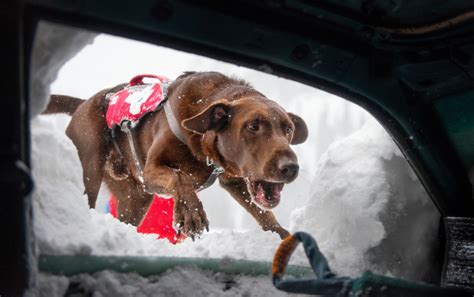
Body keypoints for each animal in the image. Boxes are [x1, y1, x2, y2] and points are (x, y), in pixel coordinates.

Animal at [44, 71, 310, 238]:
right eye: (253, 126)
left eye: (288, 129)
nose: (290, 168)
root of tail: (82, 103)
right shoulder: (151, 170)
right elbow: (179, 177)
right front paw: (191, 214)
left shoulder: (233, 181)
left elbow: (265, 214)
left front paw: (283, 238)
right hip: (90, 169)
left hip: (135, 197)